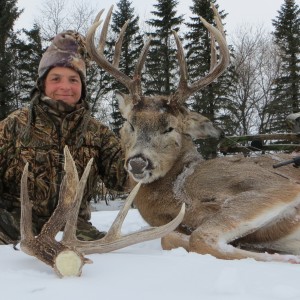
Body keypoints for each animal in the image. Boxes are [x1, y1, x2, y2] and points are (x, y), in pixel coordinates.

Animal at [86, 4, 300, 262]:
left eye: (170, 127)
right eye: (130, 123)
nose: (138, 162)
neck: (179, 190)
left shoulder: (273, 184)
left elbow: (199, 237)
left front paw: (287, 259)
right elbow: (171, 237)